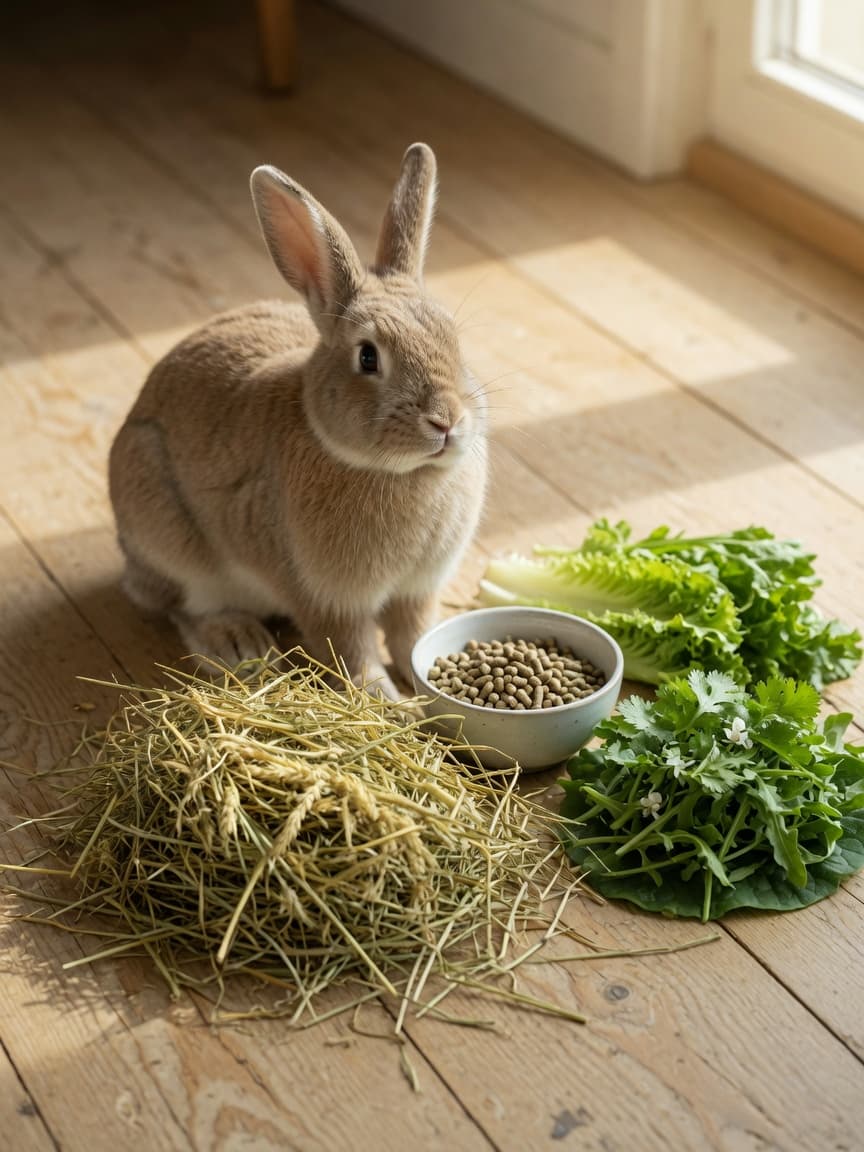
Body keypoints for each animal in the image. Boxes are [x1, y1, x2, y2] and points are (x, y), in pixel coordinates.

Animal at [108, 143, 488, 698]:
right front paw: (388, 701)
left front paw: (425, 692)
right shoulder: (324, 597)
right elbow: (353, 653)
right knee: (183, 607)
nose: (446, 422)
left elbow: (412, 638)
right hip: (166, 534)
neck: (405, 474)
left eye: (454, 341)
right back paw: (240, 643)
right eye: (368, 358)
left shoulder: (417, 591)